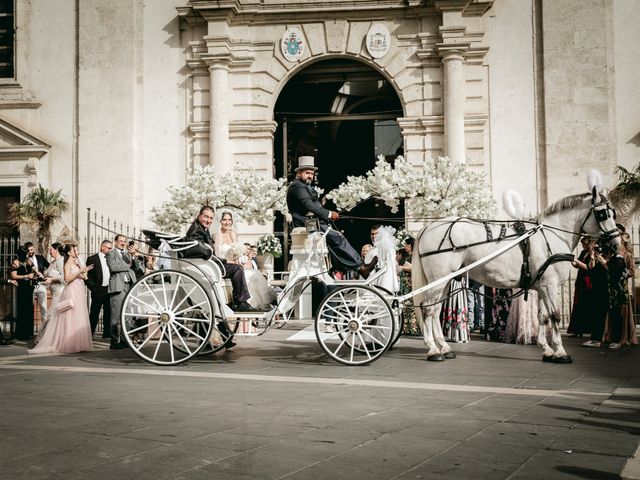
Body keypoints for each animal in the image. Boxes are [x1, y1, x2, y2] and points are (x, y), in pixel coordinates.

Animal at [416, 188, 620, 364]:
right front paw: (560, 352)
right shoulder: (550, 285)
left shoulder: (543, 286)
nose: (616, 244)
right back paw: (433, 350)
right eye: (603, 214)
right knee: (428, 309)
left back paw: (444, 347)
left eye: (613, 213)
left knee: (435, 310)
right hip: (438, 280)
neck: (551, 235)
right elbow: (554, 316)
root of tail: (428, 228)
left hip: (444, 280)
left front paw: (547, 350)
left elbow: (543, 317)